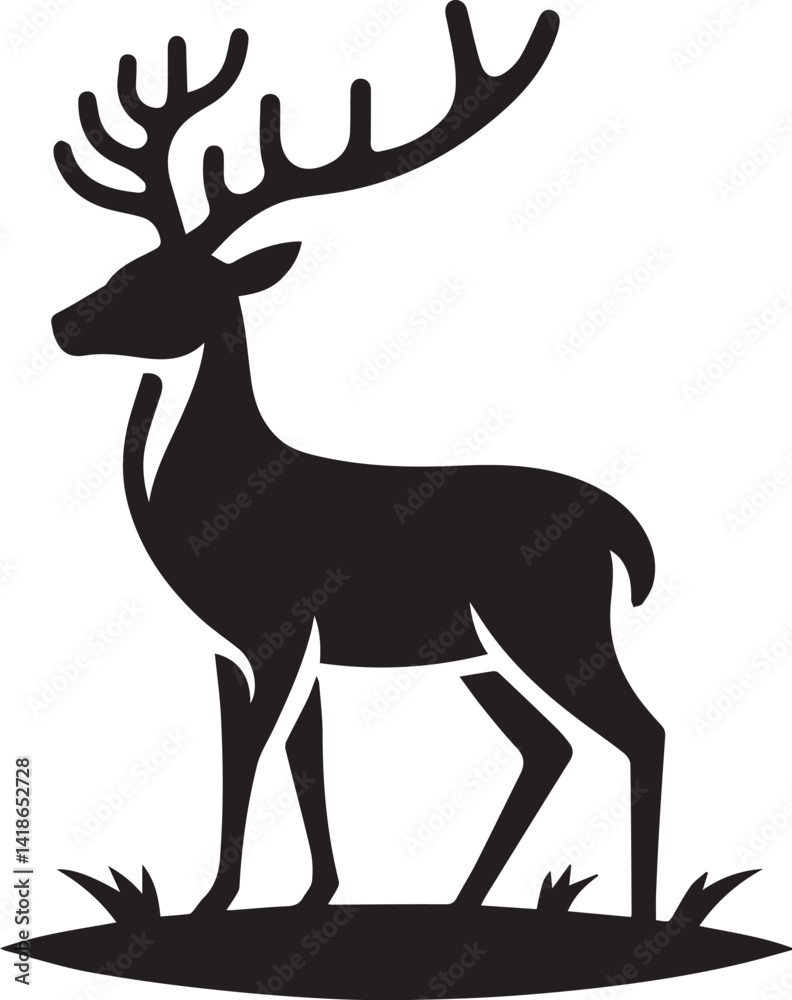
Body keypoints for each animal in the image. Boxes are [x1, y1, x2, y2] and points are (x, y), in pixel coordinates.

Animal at [51, 2, 665, 921]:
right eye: (128, 261)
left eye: (170, 283)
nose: (62, 322)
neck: (213, 505)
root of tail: (624, 532)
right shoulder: (248, 644)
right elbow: (297, 756)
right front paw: (315, 896)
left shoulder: (277, 626)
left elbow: (253, 755)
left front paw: (213, 901)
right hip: (483, 649)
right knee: (547, 746)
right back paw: (463, 901)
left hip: (552, 622)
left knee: (639, 732)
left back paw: (643, 918)